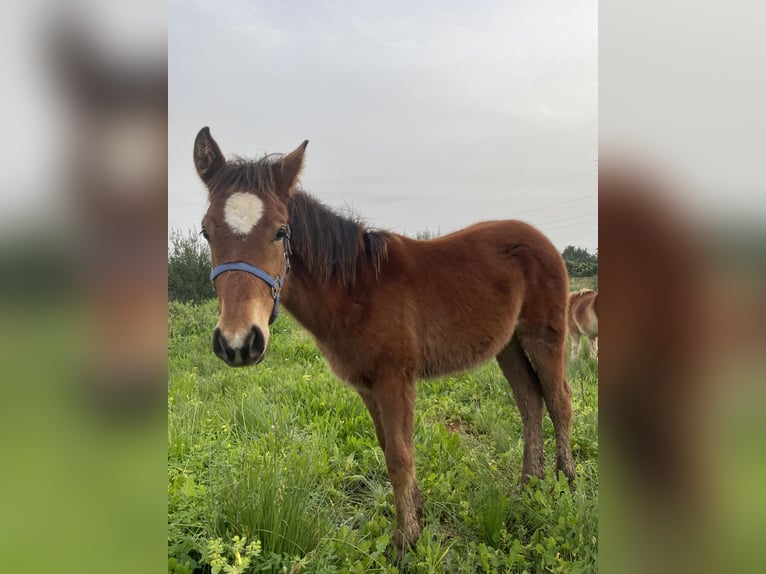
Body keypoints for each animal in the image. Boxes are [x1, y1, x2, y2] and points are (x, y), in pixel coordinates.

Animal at [192, 127, 575, 555]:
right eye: (207, 231)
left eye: (280, 231)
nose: (238, 342)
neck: (356, 288)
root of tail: (542, 240)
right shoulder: (367, 384)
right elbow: (387, 446)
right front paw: (417, 514)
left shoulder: (395, 379)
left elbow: (400, 456)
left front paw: (406, 541)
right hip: (507, 346)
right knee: (530, 401)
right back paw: (528, 486)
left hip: (544, 336)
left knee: (559, 401)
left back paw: (566, 483)